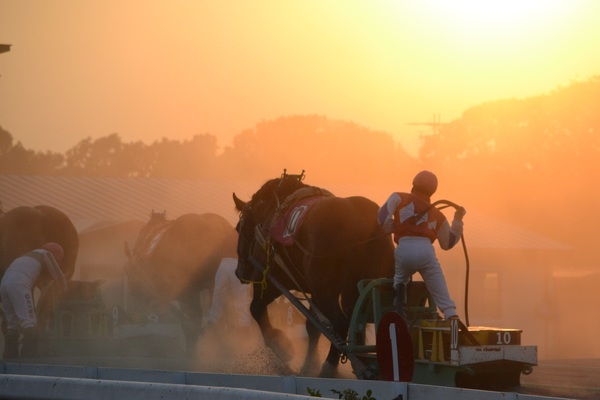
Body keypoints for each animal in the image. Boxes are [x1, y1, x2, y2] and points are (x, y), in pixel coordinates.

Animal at [232, 170, 396, 376]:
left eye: (239, 228)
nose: (240, 272)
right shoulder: (315, 292)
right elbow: (313, 328)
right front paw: (309, 364)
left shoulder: (274, 281)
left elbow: (256, 308)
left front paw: (282, 347)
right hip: (352, 291)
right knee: (355, 322)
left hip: (327, 292)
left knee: (341, 322)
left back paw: (330, 367)